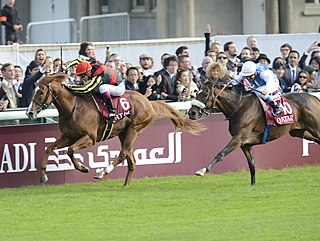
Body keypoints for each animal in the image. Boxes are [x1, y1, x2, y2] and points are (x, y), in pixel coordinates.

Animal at [26, 74, 204, 187]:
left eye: (41, 92)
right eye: (34, 91)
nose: (29, 112)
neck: (72, 108)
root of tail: (148, 101)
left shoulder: (89, 138)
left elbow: (70, 151)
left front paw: (83, 168)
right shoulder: (68, 136)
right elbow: (49, 148)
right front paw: (43, 175)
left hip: (134, 129)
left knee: (124, 154)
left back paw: (102, 172)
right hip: (124, 133)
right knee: (131, 160)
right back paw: (125, 186)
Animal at [189, 82, 320, 185]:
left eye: (205, 94)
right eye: (196, 93)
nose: (191, 113)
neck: (238, 108)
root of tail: (314, 98)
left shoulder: (238, 138)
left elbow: (221, 153)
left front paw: (202, 170)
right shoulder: (245, 144)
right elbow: (251, 165)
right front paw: (253, 185)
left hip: (315, 127)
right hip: (299, 132)